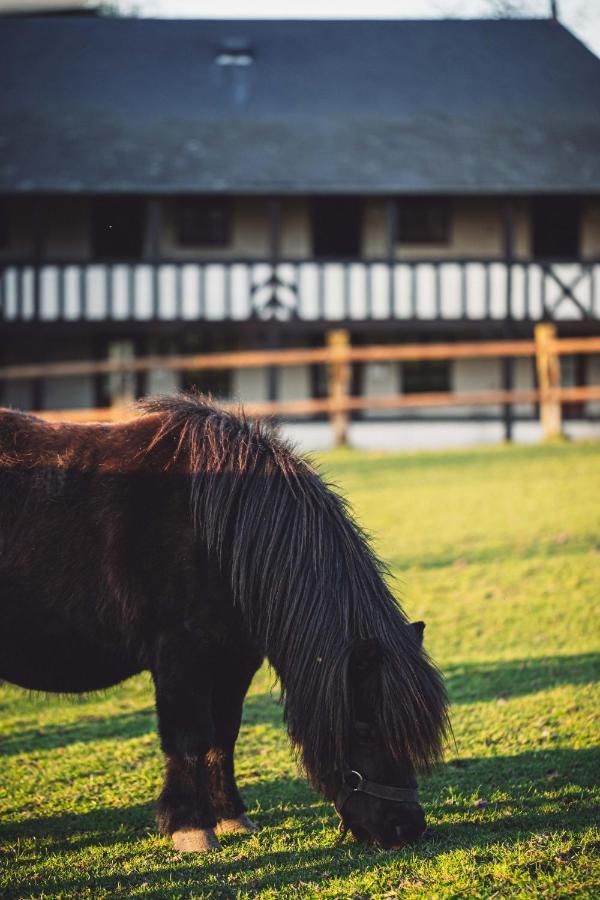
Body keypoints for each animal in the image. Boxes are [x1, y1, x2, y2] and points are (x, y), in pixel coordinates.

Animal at [0, 394, 448, 852]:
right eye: (365, 730)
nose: (406, 828)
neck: (217, 535)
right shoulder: (181, 658)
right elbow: (188, 739)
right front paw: (191, 827)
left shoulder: (235, 659)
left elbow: (224, 736)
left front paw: (231, 816)